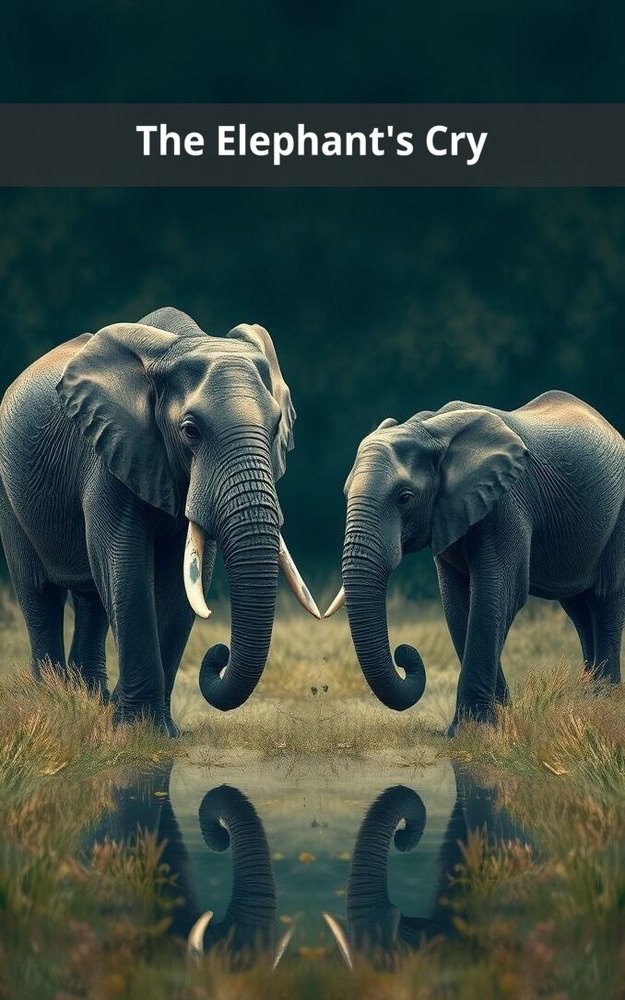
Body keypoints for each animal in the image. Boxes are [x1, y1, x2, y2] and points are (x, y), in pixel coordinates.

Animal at [0, 307, 319, 734]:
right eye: (191, 431)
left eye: (274, 429)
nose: (218, 655)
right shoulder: (109, 455)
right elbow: (125, 567)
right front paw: (136, 731)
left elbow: (181, 584)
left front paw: (158, 731)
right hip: (9, 494)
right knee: (40, 593)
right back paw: (53, 699)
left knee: (92, 598)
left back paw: (91, 699)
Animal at [325, 392, 625, 733]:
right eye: (346, 493)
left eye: (404, 497)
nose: (404, 653)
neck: (426, 429)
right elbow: (457, 604)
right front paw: (500, 720)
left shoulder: (507, 503)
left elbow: (498, 594)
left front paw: (475, 730)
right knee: (577, 607)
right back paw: (586, 698)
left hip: (619, 516)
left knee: (604, 598)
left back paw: (602, 703)